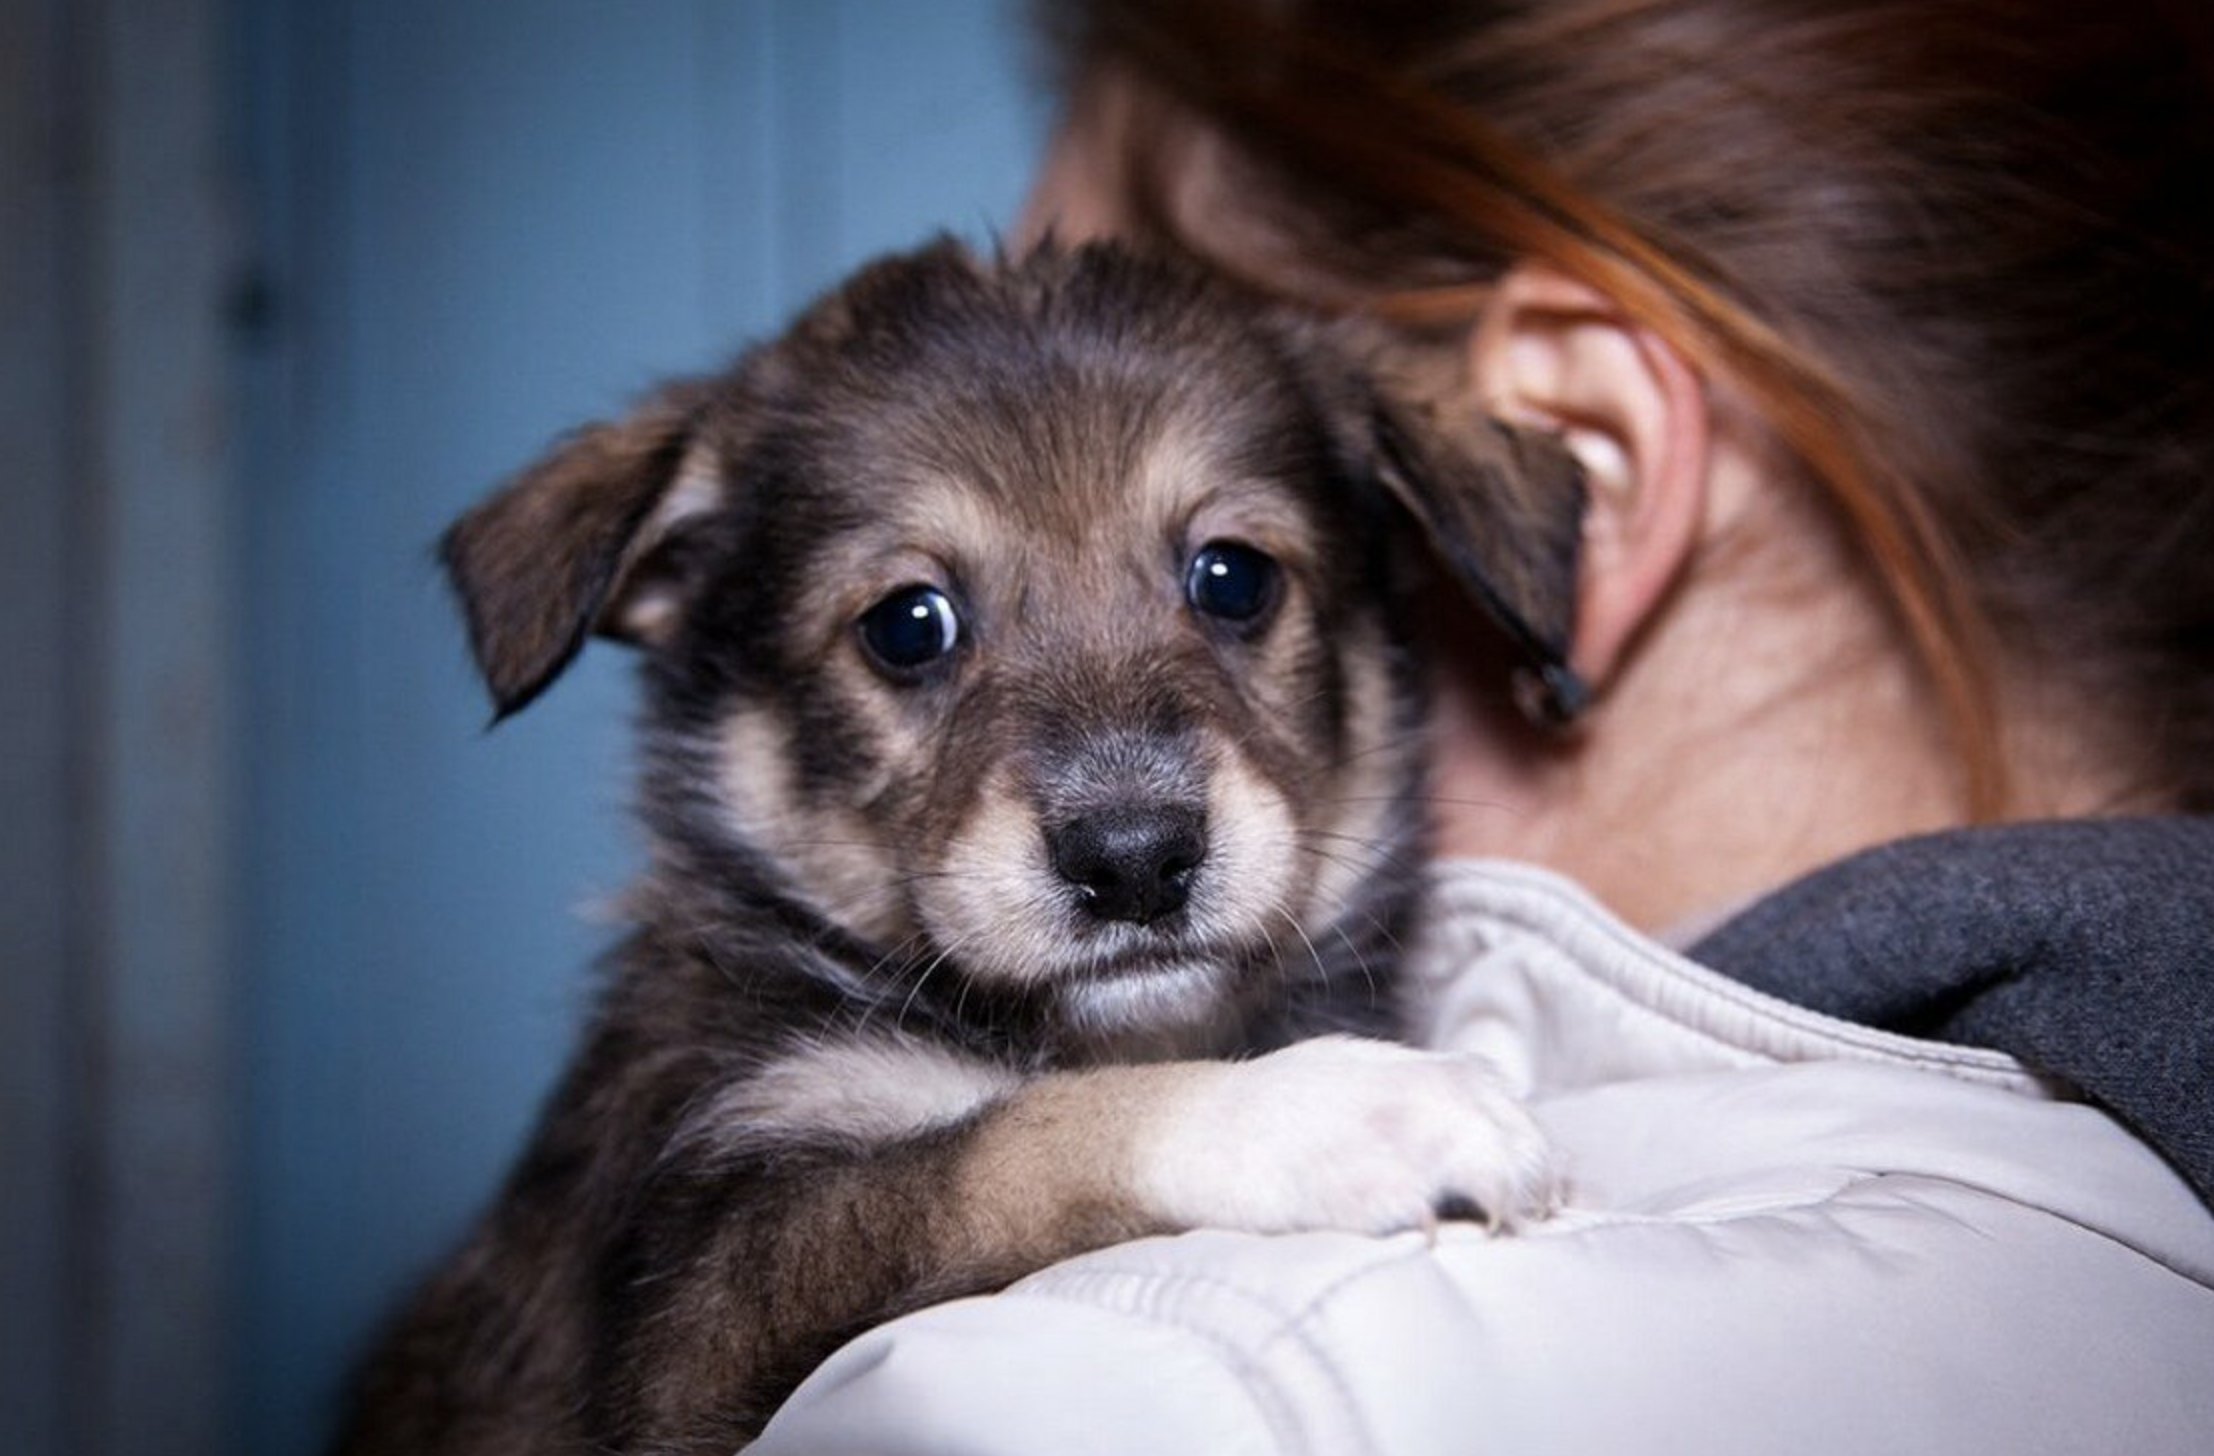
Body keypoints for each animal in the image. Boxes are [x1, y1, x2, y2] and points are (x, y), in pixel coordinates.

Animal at [336, 241, 1594, 1451]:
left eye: (1234, 577)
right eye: (908, 625)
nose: (1134, 857)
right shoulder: (696, 1318)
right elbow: (1017, 1139)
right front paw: (1343, 1113)